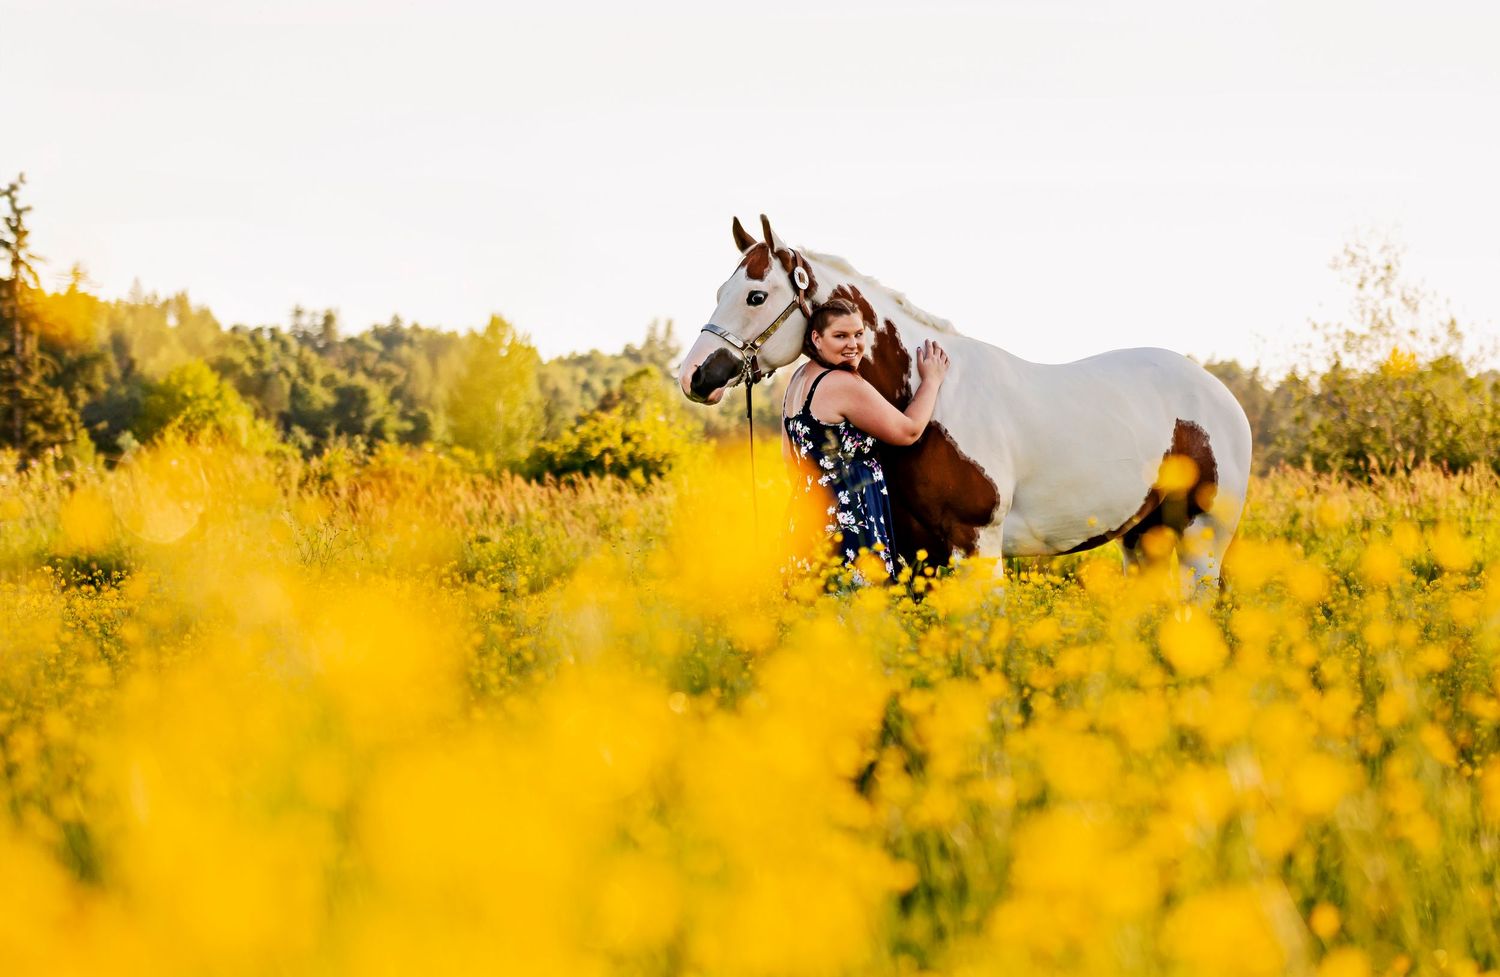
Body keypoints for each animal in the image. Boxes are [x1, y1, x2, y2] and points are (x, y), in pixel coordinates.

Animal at [677, 215, 1253, 589]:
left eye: (755, 296)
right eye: (719, 291)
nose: (694, 375)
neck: (928, 405)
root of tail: (1221, 396)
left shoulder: (976, 545)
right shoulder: (919, 553)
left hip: (1203, 538)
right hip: (1143, 536)